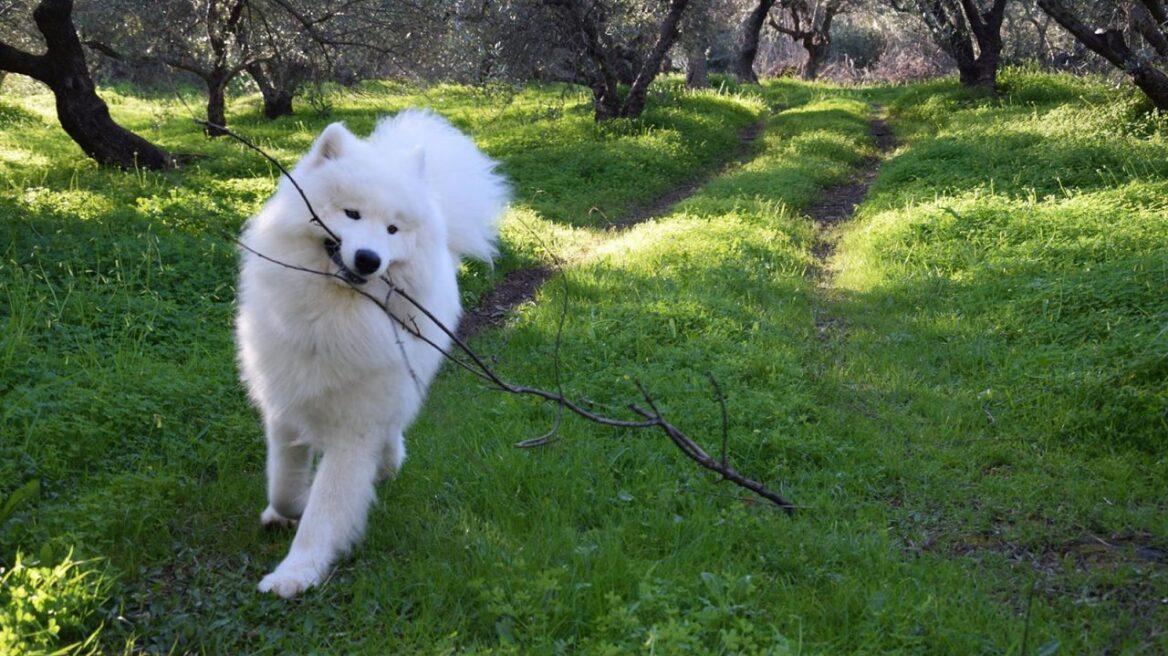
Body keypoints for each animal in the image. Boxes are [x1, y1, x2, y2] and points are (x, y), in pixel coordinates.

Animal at [234, 109, 509, 595]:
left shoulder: (355, 428)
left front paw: (296, 572)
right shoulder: (285, 405)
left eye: (392, 229)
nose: (368, 259)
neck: (333, 313)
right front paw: (287, 509)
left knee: (393, 428)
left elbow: (326, 511)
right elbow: (282, 484)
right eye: (352, 213)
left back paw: (388, 462)